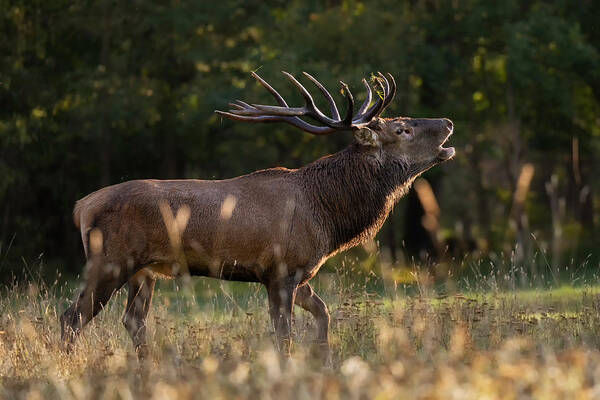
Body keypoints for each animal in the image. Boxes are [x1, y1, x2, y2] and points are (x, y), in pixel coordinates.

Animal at [61, 71, 454, 360]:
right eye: (403, 129)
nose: (448, 122)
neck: (327, 216)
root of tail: (81, 206)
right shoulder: (280, 270)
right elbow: (285, 336)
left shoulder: (300, 273)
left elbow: (324, 314)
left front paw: (325, 362)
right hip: (110, 260)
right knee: (72, 317)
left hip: (144, 271)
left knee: (132, 321)